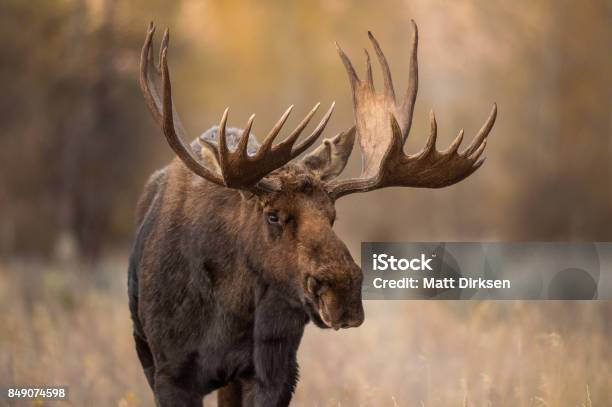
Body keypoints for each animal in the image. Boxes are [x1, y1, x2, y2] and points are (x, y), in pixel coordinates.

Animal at [129, 19, 498, 407]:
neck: (226, 313)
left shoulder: (275, 370)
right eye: (272, 215)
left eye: (333, 215)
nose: (343, 291)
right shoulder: (169, 372)